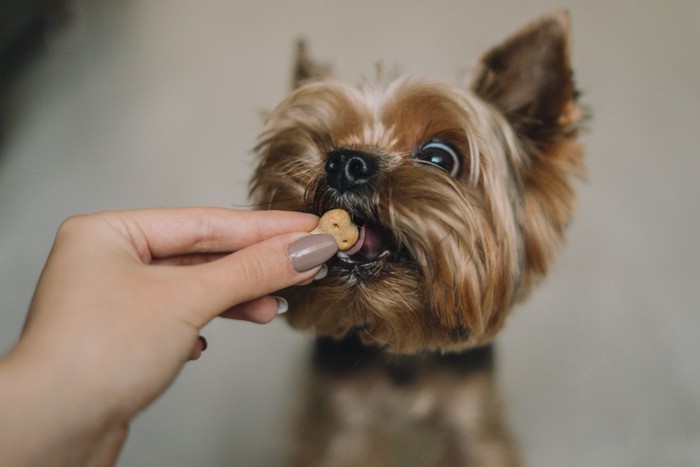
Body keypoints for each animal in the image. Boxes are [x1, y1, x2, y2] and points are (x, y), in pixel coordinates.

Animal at [249, 11, 584, 467]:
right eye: (323, 143)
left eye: (439, 157)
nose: (344, 162)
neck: (398, 341)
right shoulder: (343, 421)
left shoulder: (471, 417)